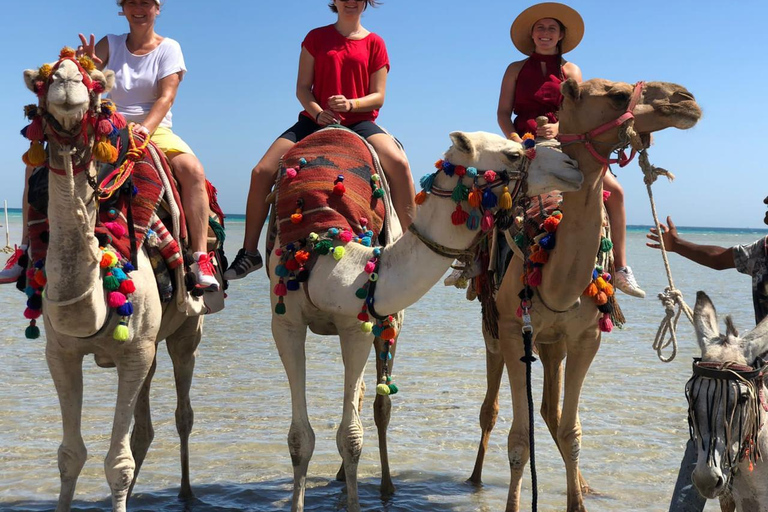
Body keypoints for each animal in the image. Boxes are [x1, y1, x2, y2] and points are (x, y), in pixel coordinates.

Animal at [22, 52, 204, 512]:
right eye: (41, 81)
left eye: (96, 84)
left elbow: (116, 462)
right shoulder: (61, 353)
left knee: (183, 414)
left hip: (186, 332)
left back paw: (187, 492)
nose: (68, 80)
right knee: (144, 429)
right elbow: (70, 454)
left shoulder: (134, 353)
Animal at [269, 128, 583, 512]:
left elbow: (351, 435)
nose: (572, 165)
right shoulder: (286, 324)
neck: (326, 256)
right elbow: (300, 438)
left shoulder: (357, 324)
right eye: (512, 154)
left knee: (378, 405)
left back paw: (384, 485)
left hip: (388, 322)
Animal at [466, 78, 701, 512]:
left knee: (550, 409)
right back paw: (473, 478)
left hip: (552, 343)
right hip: (494, 330)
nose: (685, 99)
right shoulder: (514, 331)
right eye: (618, 94)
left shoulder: (585, 337)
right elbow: (519, 438)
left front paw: (578, 500)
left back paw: (586, 484)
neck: (555, 278)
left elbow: (571, 429)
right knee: (490, 408)